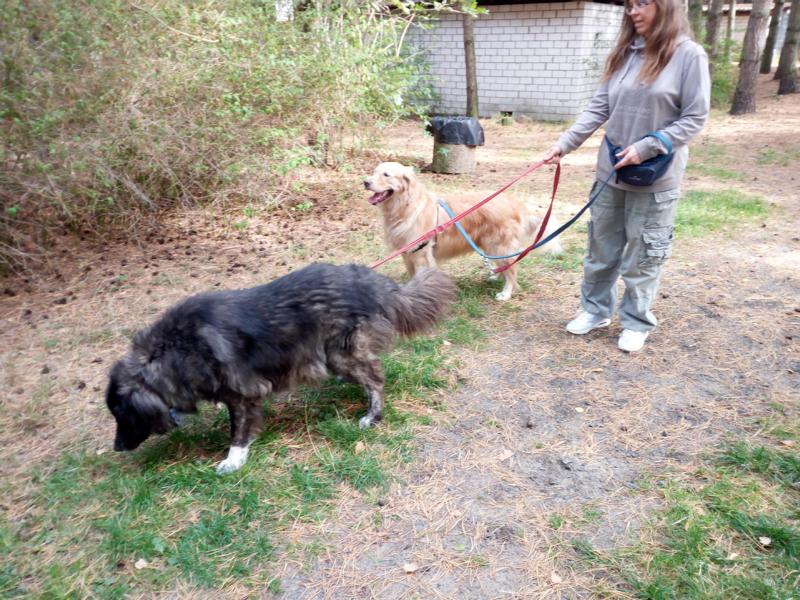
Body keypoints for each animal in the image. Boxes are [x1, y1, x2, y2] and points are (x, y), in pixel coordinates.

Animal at [105, 263, 455, 474]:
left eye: (123, 415)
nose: (117, 447)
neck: (174, 349)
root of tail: (370, 283)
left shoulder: (241, 395)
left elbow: (238, 431)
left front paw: (233, 461)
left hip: (340, 355)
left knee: (376, 378)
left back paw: (373, 414)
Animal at [364, 162, 562, 301]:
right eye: (374, 172)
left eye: (386, 174)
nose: (365, 182)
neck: (405, 207)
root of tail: (515, 202)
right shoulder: (408, 253)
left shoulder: (421, 254)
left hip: (499, 244)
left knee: (512, 270)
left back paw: (506, 293)